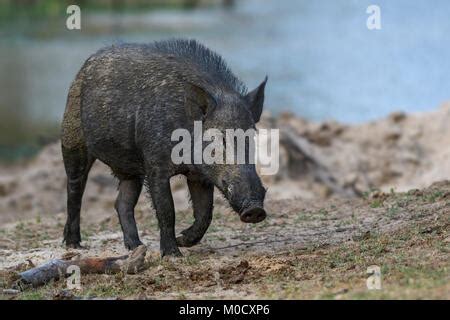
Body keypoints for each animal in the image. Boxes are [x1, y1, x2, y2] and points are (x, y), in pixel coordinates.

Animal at [62, 38, 268, 256]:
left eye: (251, 136)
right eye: (219, 139)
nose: (255, 210)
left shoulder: (198, 175)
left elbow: (205, 212)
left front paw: (183, 240)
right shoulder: (155, 165)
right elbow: (167, 210)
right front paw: (173, 254)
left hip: (131, 169)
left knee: (121, 202)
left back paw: (136, 246)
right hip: (71, 140)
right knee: (74, 192)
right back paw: (74, 244)